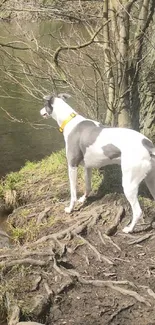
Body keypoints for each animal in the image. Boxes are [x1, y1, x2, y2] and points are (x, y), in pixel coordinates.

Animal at [40, 93, 155, 233]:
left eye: (44, 104)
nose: (40, 111)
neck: (71, 121)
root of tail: (148, 145)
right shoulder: (87, 167)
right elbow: (88, 186)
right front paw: (83, 199)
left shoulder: (72, 165)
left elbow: (73, 192)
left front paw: (70, 208)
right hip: (150, 180)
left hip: (129, 184)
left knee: (138, 211)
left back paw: (129, 229)